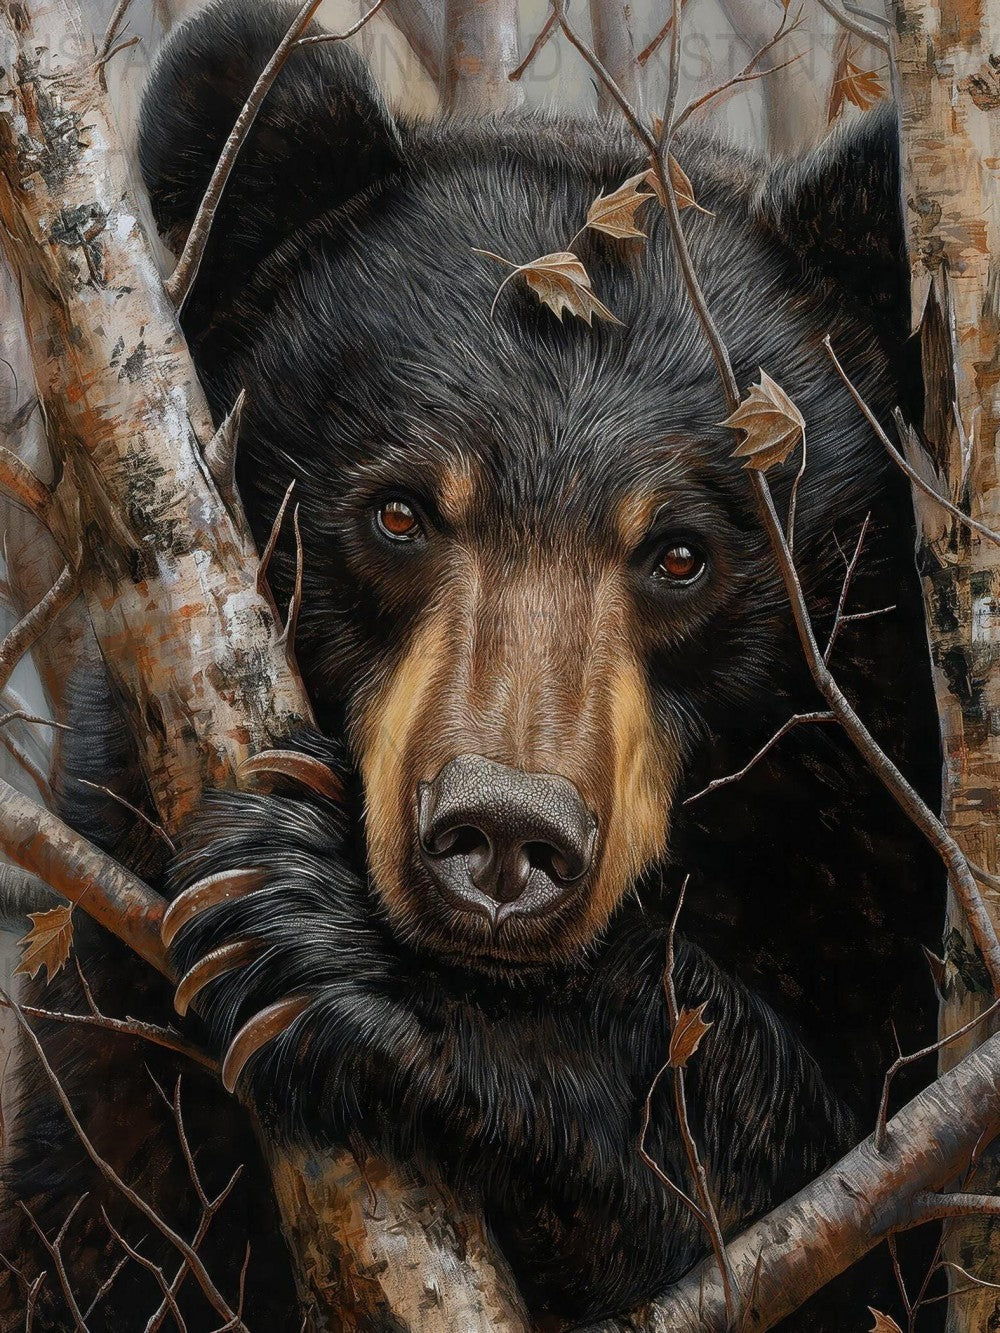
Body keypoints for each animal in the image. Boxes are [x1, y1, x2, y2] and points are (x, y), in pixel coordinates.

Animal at [0, 1, 947, 1328]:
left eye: (682, 553)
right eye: (400, 512)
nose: (503, 836)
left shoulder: (888, 859)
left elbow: (848, 1211)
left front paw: (324, 932)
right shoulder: (112, 1019)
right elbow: (101, 1230)